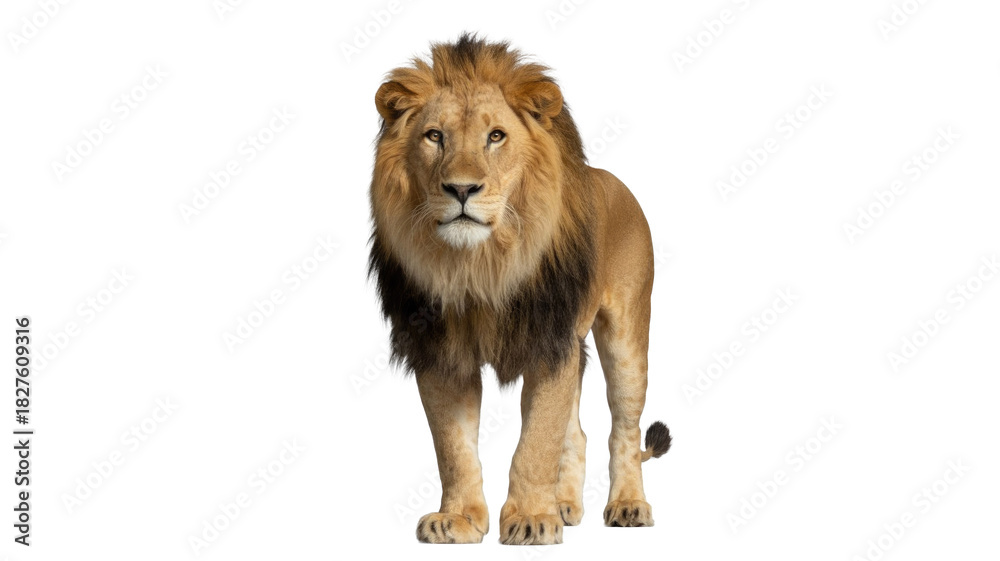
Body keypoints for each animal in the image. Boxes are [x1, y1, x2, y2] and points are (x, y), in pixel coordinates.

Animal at [367, 34, 671, 545]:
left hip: (627, 336)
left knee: (624, 430)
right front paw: (459, 519)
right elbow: (453, 447)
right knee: (579, 433)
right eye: (434, 136)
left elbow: (537, 441)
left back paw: (628, 506)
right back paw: (564, 505)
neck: (480, 266)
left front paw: (530, 519)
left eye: (496, 136)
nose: (461, 189)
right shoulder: (441, 350)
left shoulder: (550, 341)